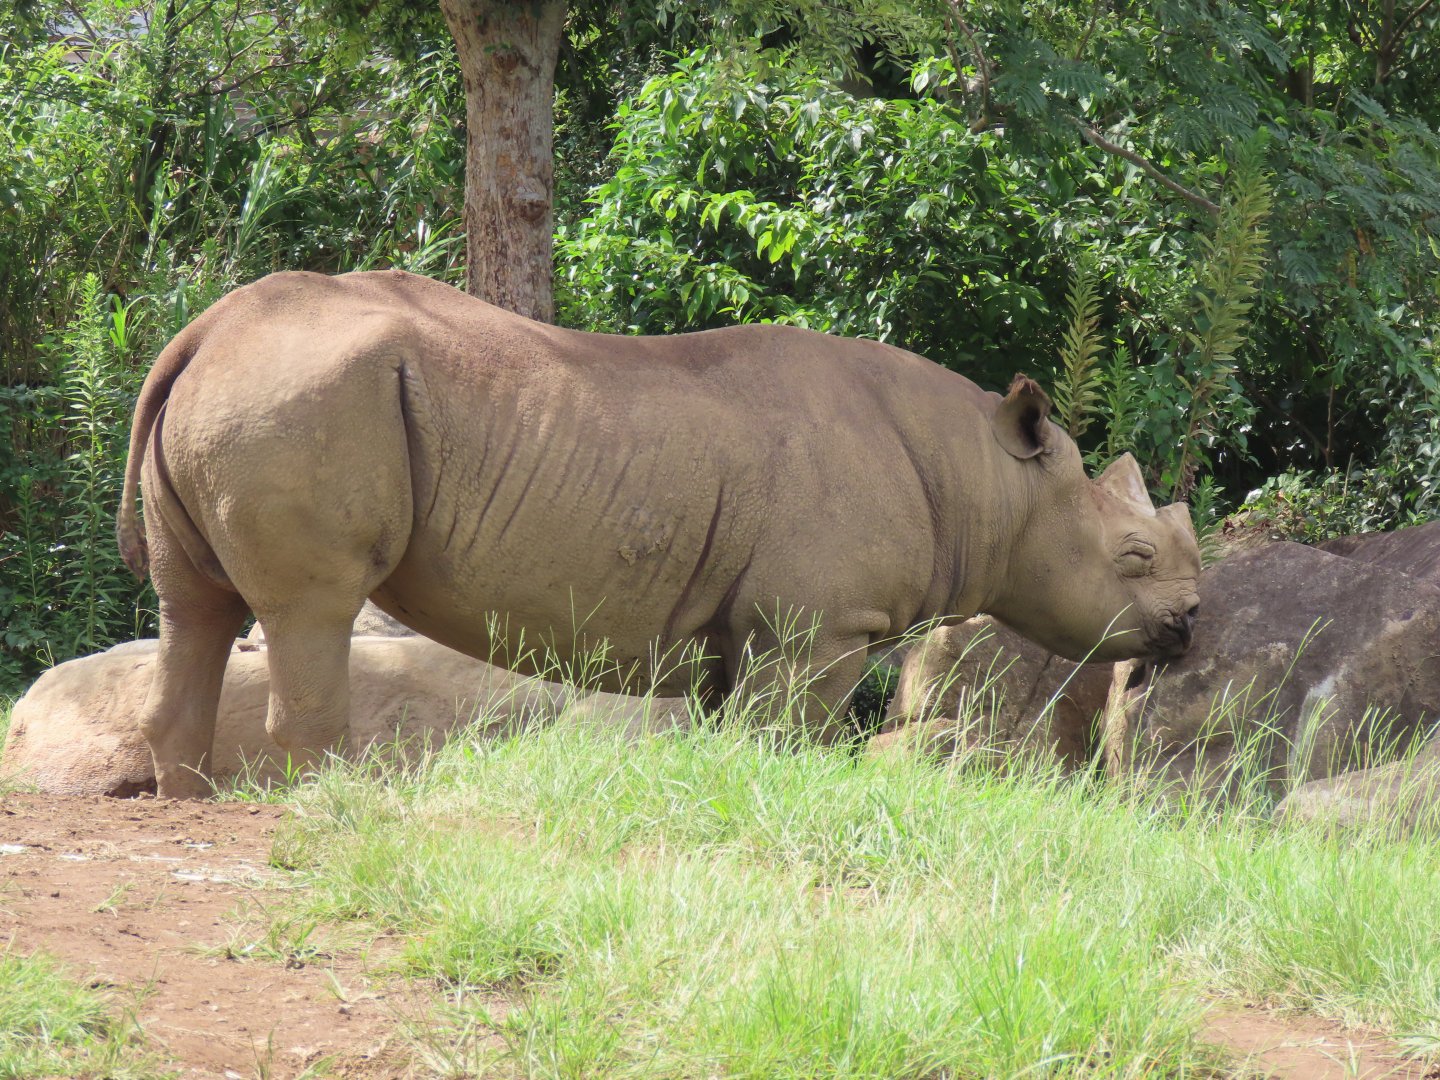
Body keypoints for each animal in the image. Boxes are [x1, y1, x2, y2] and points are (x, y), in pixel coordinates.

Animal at [116, 270, 1201, 798]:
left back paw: (184, 797)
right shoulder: (821, 625)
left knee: (193, 603)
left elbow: (738, 735)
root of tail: (206, 331)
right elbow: (792, 737)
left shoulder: (751, 625)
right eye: (1132, 558)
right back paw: (330, 803)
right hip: (301, 397)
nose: (1192, 622)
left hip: (246, 394)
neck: (987, 479)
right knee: (312, 608)